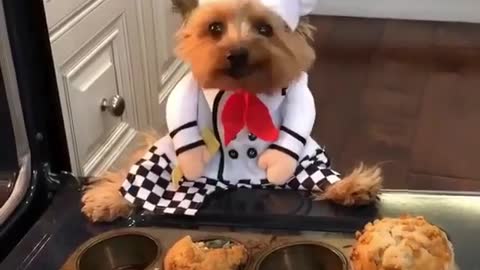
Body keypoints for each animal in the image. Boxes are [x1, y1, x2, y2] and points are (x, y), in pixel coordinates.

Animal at [81, 0, 382, 224]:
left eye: (265, 28)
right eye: (214, 28)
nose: (237, 53)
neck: (242, 91)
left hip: (297, 167)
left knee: (318, 175)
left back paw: (351, 186)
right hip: (166, 162)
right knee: (140, 174)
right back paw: (109, 198)